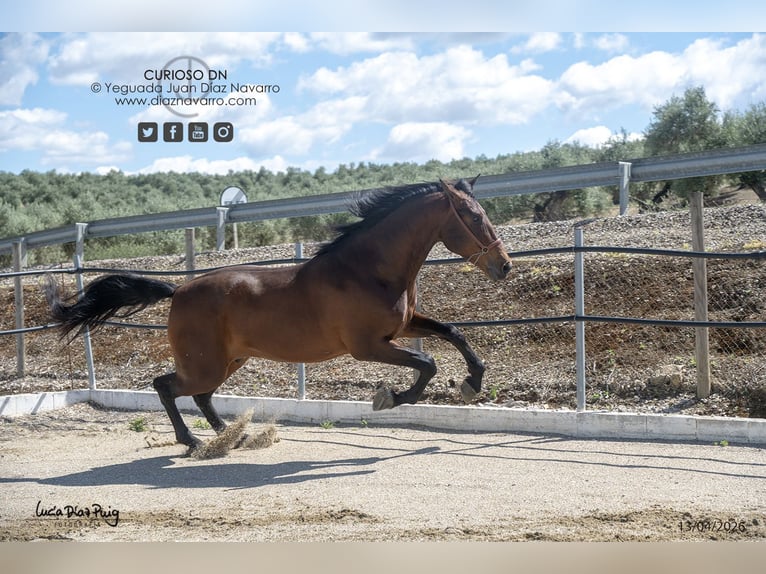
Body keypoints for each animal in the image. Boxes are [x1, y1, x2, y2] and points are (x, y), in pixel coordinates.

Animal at [45, 177, 512, 449]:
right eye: (472, 216)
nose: (504, 266)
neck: (368, 270)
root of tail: (178, 289)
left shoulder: (404, 326)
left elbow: (453, 334)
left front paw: (471, 383)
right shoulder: (368, 346)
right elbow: (427, 362)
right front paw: (389, 398)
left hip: (229, 361)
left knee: (199, 395)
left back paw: (232, 437)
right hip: (206, 364)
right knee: (167, 386)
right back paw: (193, 441)